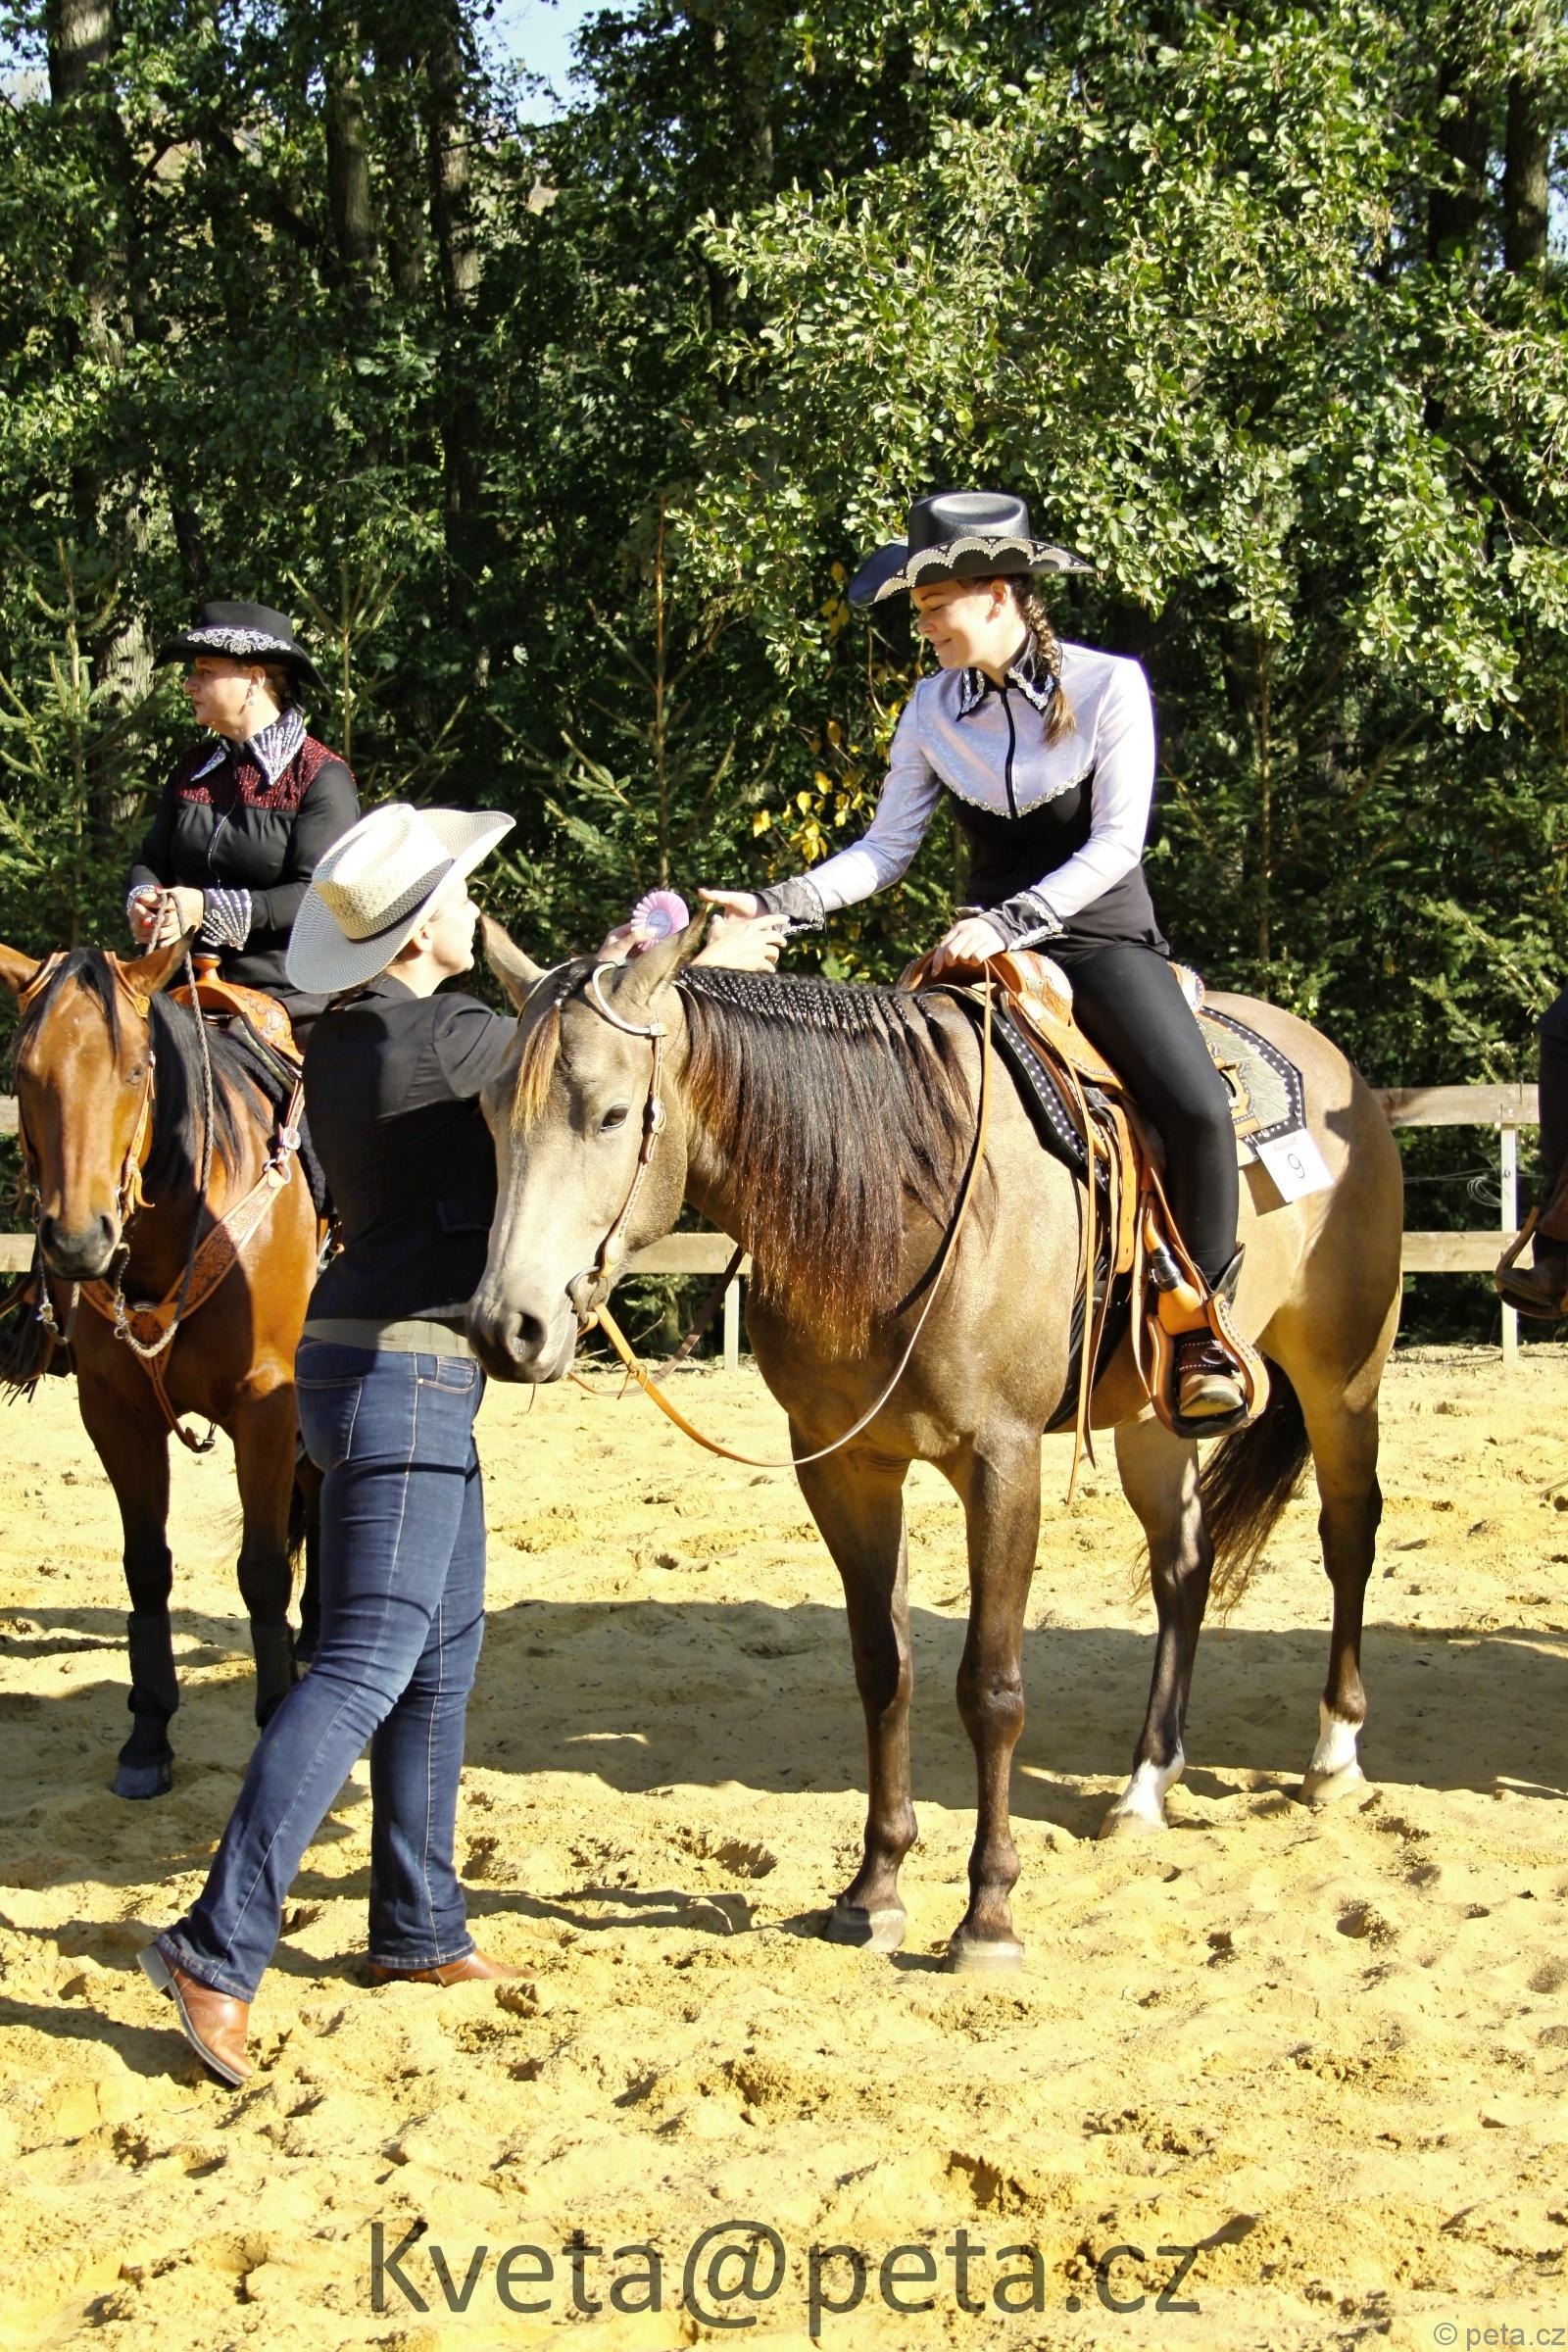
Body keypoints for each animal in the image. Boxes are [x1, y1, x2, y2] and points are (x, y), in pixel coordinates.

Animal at [0, 937, 324, 1798]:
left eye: (138, 1068)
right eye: (22, 1070)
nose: (77, 1241)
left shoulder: (268, 1404)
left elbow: (263, 1569)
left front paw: (276, 1716)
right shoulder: (116, 1413)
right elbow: (146, 1568)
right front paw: (147, 1736)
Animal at [466, 920, 1403, 1973]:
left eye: (614, 1114)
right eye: (492, 1113)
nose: (508, 1328)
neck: (900, 1195)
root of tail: (1335, 1067)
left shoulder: (1002, 1462)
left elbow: (990, 1688)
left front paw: (987, 1914)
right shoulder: (845, 1468)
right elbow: (886, 1669)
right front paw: (871, 1893)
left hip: (1342, 1374)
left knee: (1348, 1533)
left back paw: (1334, 1754)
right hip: (1152, 1421)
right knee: (1183, 1568)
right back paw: (1145, 1784)